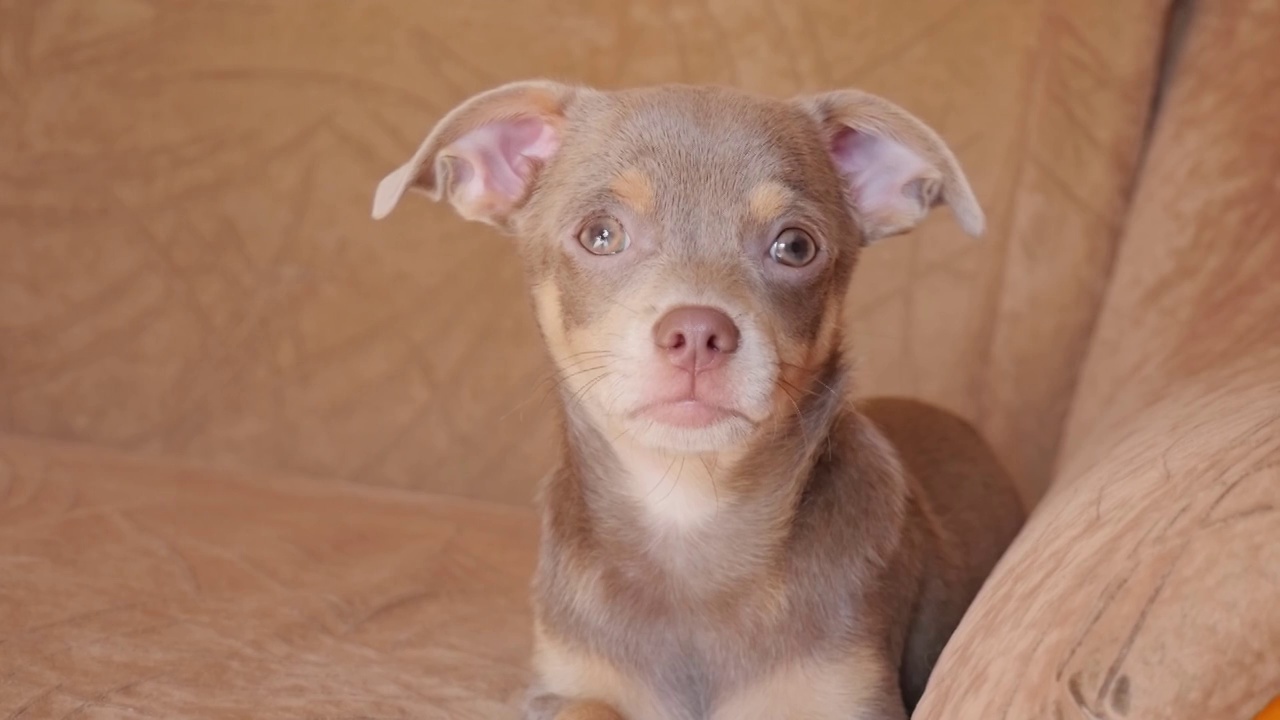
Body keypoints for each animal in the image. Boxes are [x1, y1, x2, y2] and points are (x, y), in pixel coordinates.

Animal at [371, 81, 1018, 717]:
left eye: (795, 247)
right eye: (600, 235)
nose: (699, 332)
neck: (687, 508)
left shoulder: (852, 697)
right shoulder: (559, 689)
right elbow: (592, 708)